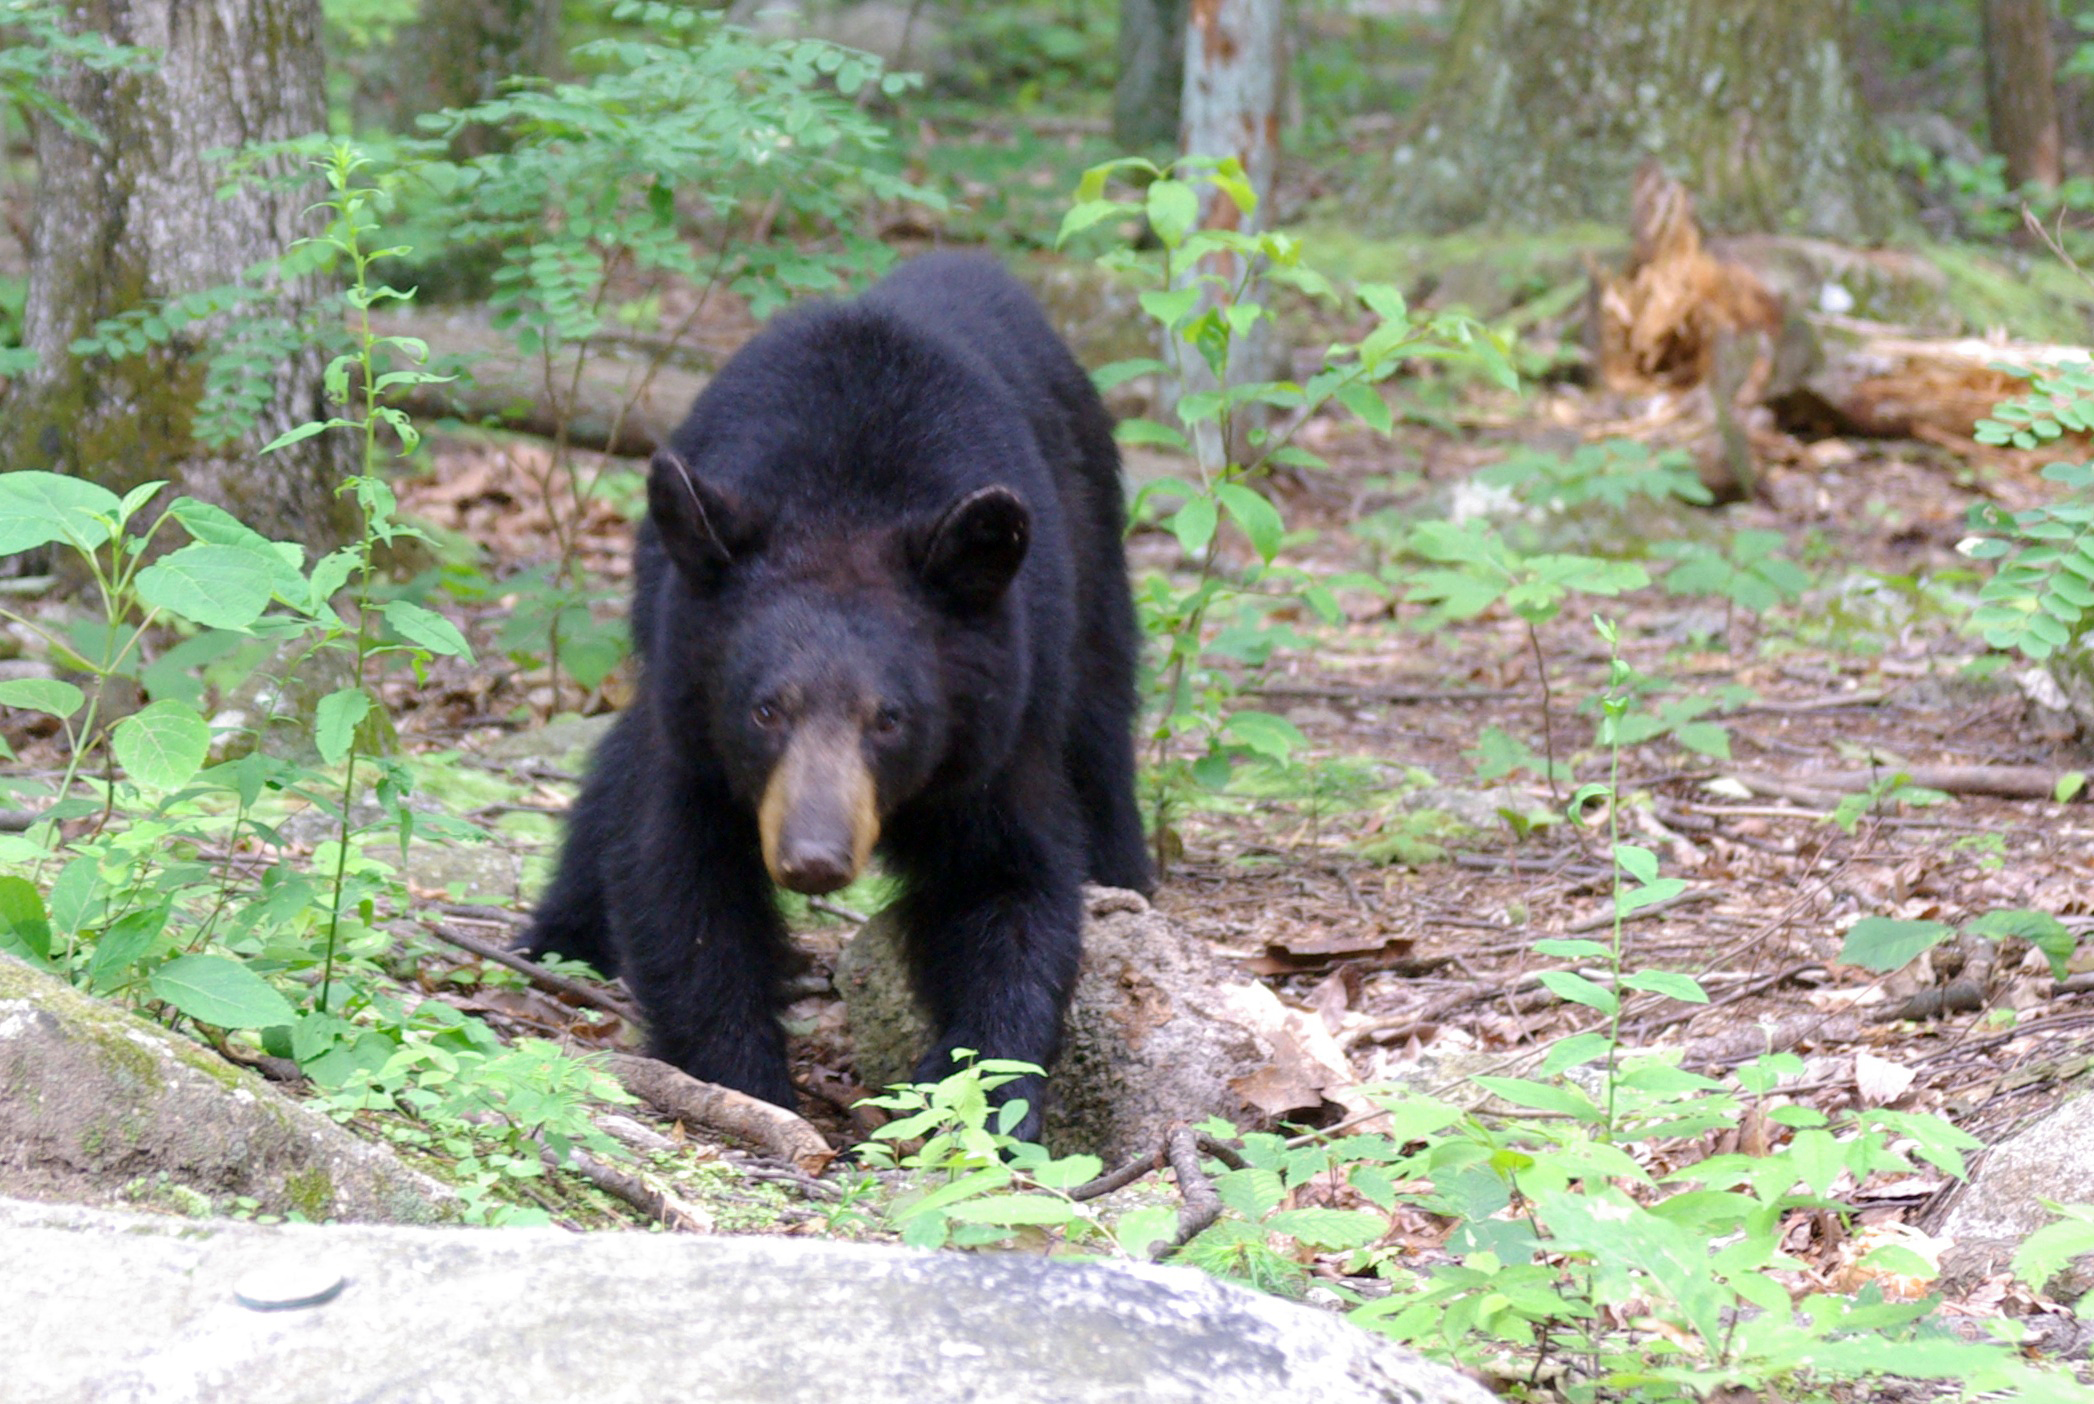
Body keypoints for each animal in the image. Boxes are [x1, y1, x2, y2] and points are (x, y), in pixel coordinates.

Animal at [520, 253, 1152, 1141]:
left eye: (890, 717)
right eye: (765, 708)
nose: (814, 856)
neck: (846, 505)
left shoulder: (998, 721)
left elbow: (1010, 883)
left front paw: (982, 1101)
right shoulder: (698, 715)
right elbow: (683, 879)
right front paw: (748, 1083)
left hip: (1092, 564)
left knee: (1100, 735)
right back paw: (562, 938)